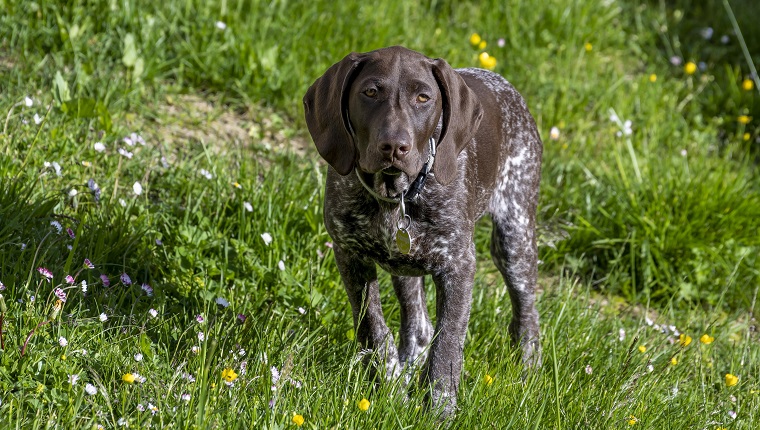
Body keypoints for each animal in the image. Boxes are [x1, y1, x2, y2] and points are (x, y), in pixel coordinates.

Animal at [302, 45, 540, 414]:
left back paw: (527, 373)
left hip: (514, 239)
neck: (395, 195)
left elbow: (449, 341)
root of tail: (504, 85)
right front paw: (390, 383)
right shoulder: (350, 255)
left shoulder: (458, 265)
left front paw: (440, 407)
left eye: (423, 98)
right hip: (406, 265)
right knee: (419, 325)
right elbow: (373, 327)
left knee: (527, 315)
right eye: (370, 92)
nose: (394, 146)